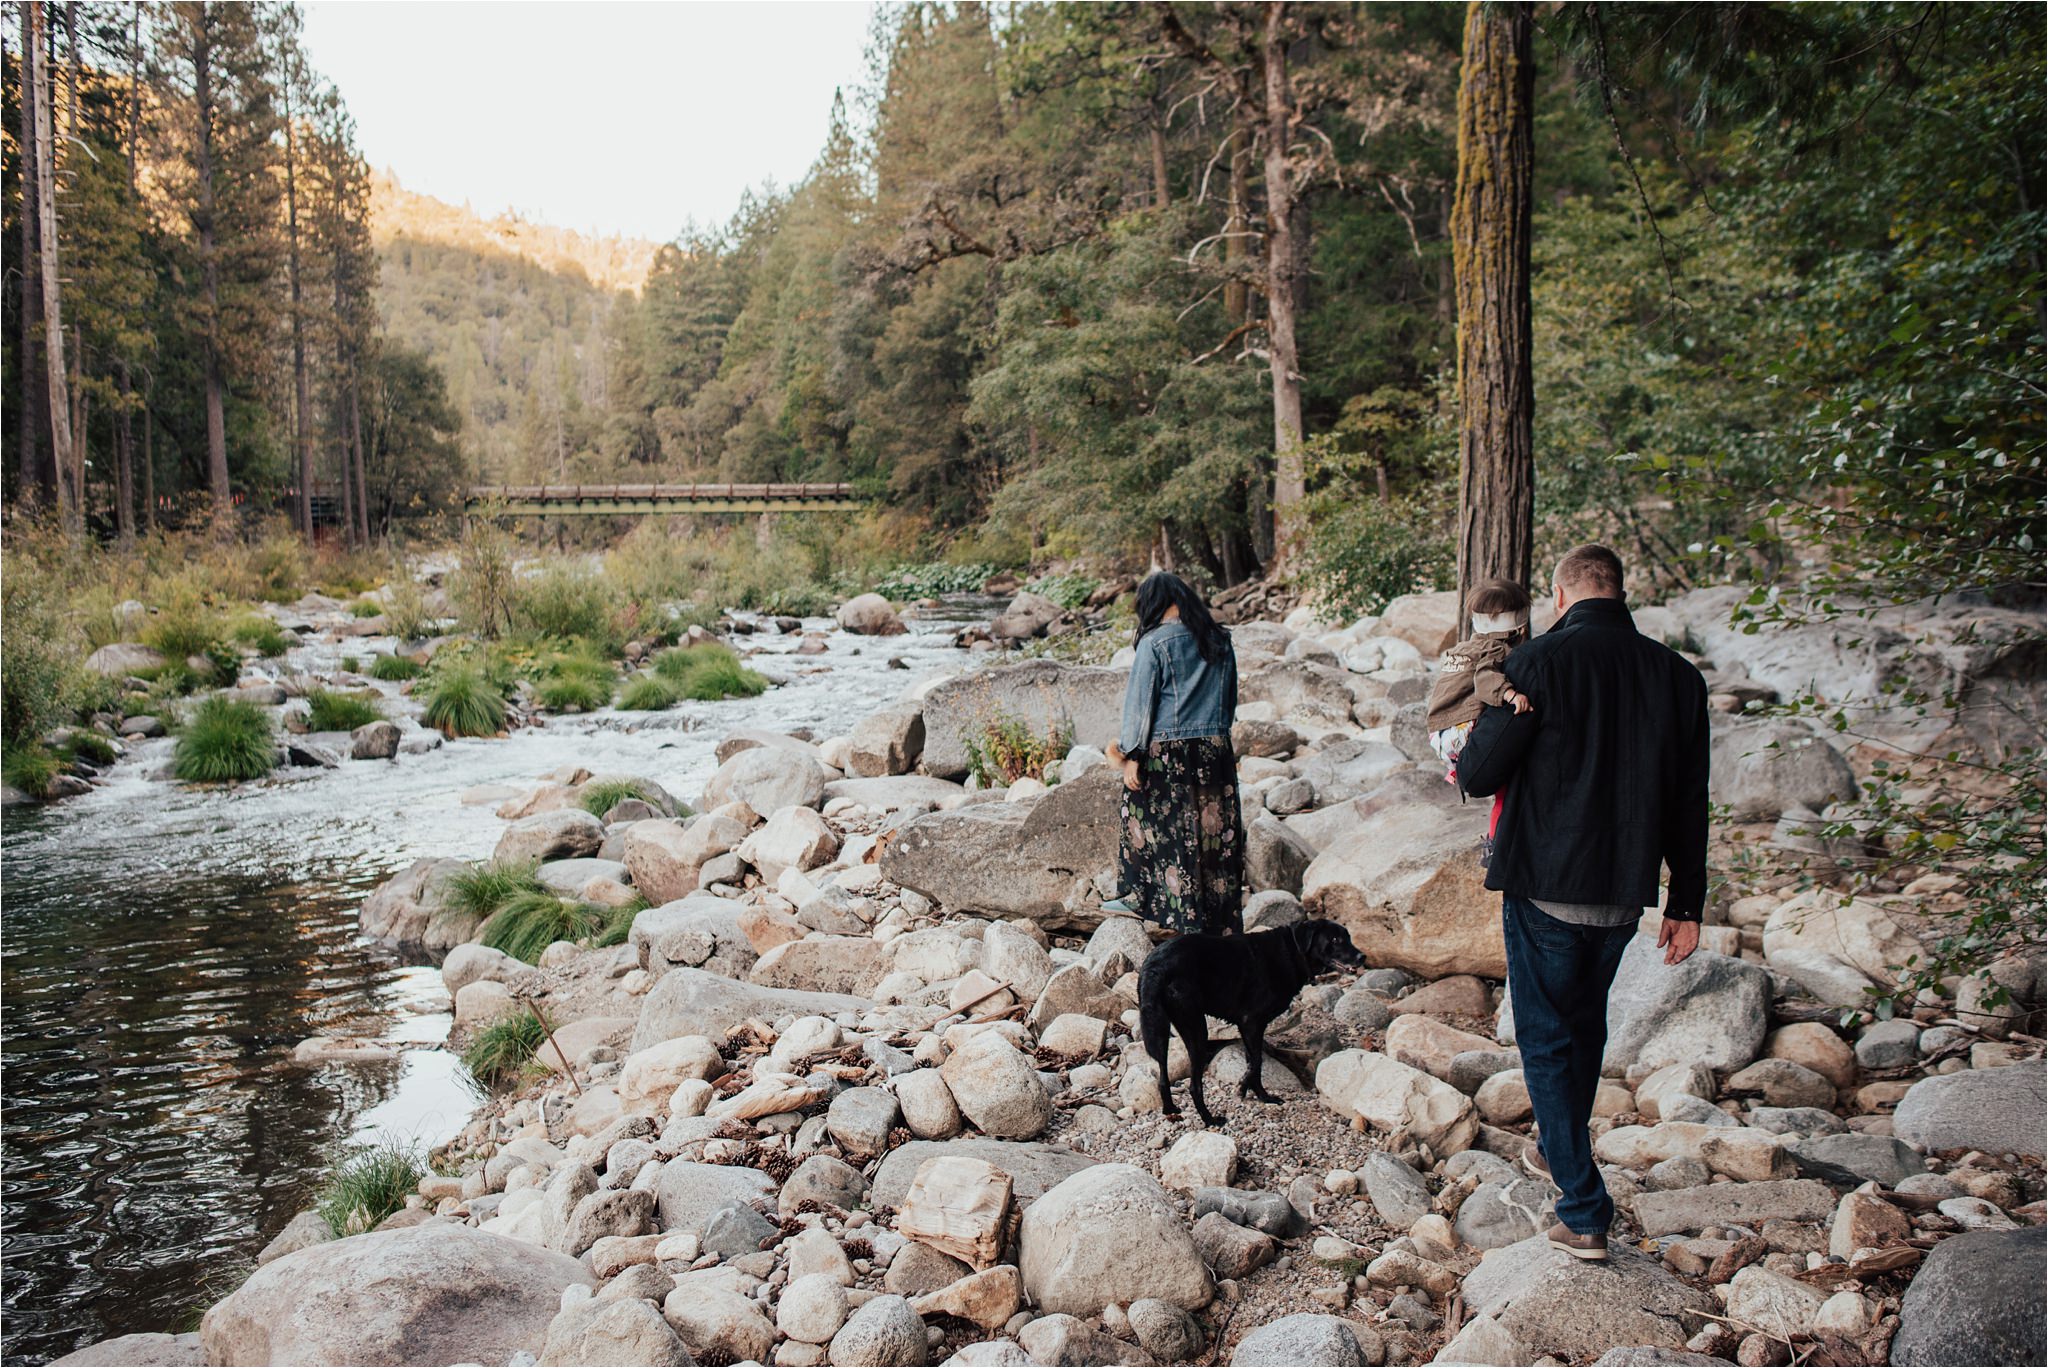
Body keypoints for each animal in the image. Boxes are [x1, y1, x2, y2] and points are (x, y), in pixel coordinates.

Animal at [1138, 913, 1359, 1130]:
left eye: (1348, 937)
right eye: (1335, 940)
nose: (1362, 957)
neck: (1291, 951)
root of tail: (1156, 966)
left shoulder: (1248, 1028)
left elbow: (1252, 1062)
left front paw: (1254, 1092)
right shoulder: (1251, 1023)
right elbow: (1257, 1063)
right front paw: (1254, 1092)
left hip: (1161, 1028)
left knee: (1162, 1076)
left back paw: (1170, 1109)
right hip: (1197, 1030)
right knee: (1194, 1086)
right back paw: (1210, 1119)